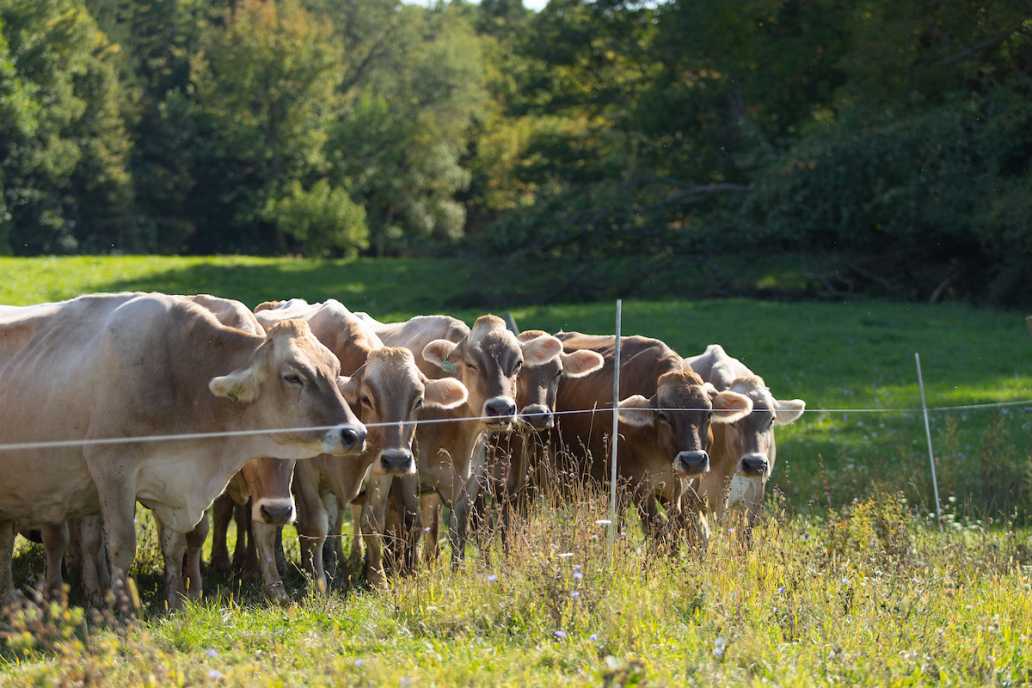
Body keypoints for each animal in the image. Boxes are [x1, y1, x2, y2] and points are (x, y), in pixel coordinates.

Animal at [0, 292, 367, 606]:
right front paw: (122, 610)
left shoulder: (173, 483)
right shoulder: (112, 470)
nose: (355, 434)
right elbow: (121, 545)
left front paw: (176, 601)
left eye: (335, 371)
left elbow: (175, 544)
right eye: (293, 376)